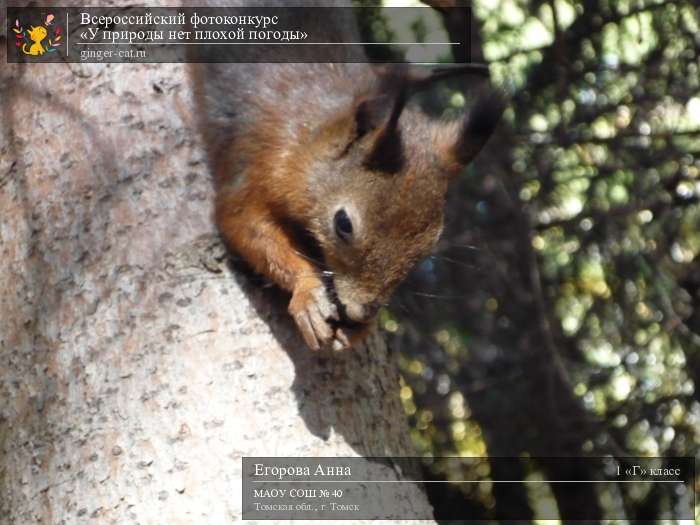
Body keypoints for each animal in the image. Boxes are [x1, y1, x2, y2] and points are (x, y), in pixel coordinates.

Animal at [187, 6, 504, 350]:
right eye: (343, 224)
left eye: (427, 248)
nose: (359, 313)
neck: (310, 144)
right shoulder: (257, 169)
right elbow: (244, 226)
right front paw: (309, 296)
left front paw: (361, 329)